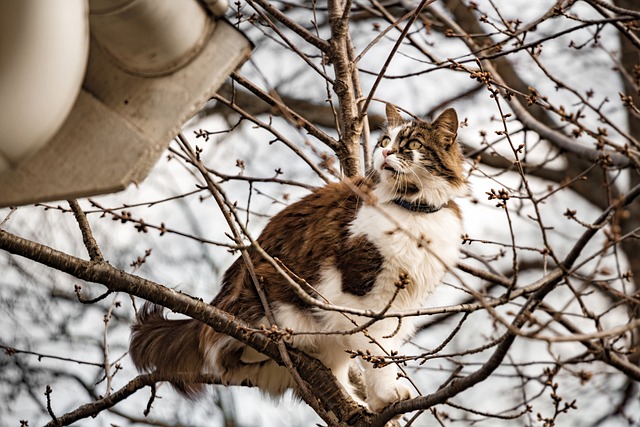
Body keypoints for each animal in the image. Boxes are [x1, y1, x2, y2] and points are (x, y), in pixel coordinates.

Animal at [129, 103, 464, 414]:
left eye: (413, 144)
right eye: (384, 141)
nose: (384, 152)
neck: (412, 211)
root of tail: (213, 309)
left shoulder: (402, 305)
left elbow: (383, 349)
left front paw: (379, 402)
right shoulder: (365, 295)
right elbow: (377, 351)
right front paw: (389, 394)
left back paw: (356, 405)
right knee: (234, 352)